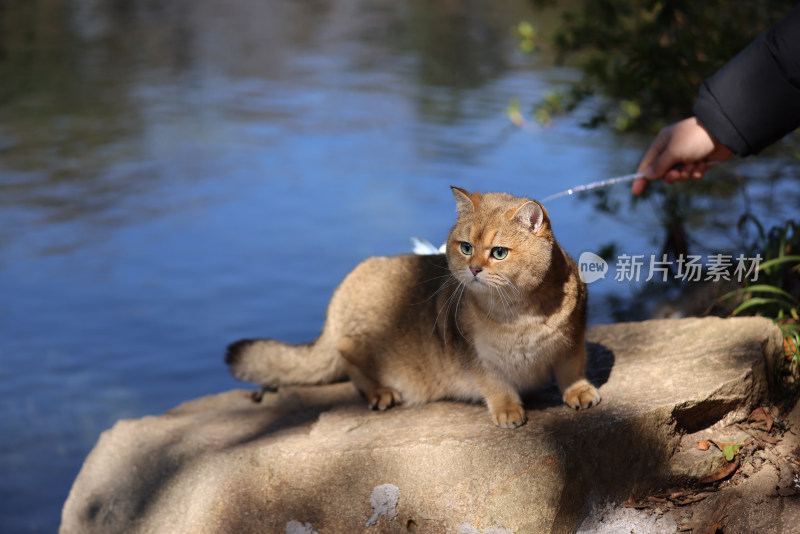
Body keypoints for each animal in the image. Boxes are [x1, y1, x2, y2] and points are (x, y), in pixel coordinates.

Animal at [225, 186, 600, 430]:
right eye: (465, 247)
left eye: (499, 252)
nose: (474, 269)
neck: (518, 313)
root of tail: (341, 293)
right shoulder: (475, 356)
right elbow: (496, 384)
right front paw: (508, 409)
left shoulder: (573, 338)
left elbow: (571, 369)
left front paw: (578, 391)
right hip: (365, 343)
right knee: (346, 355)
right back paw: (380, 391)